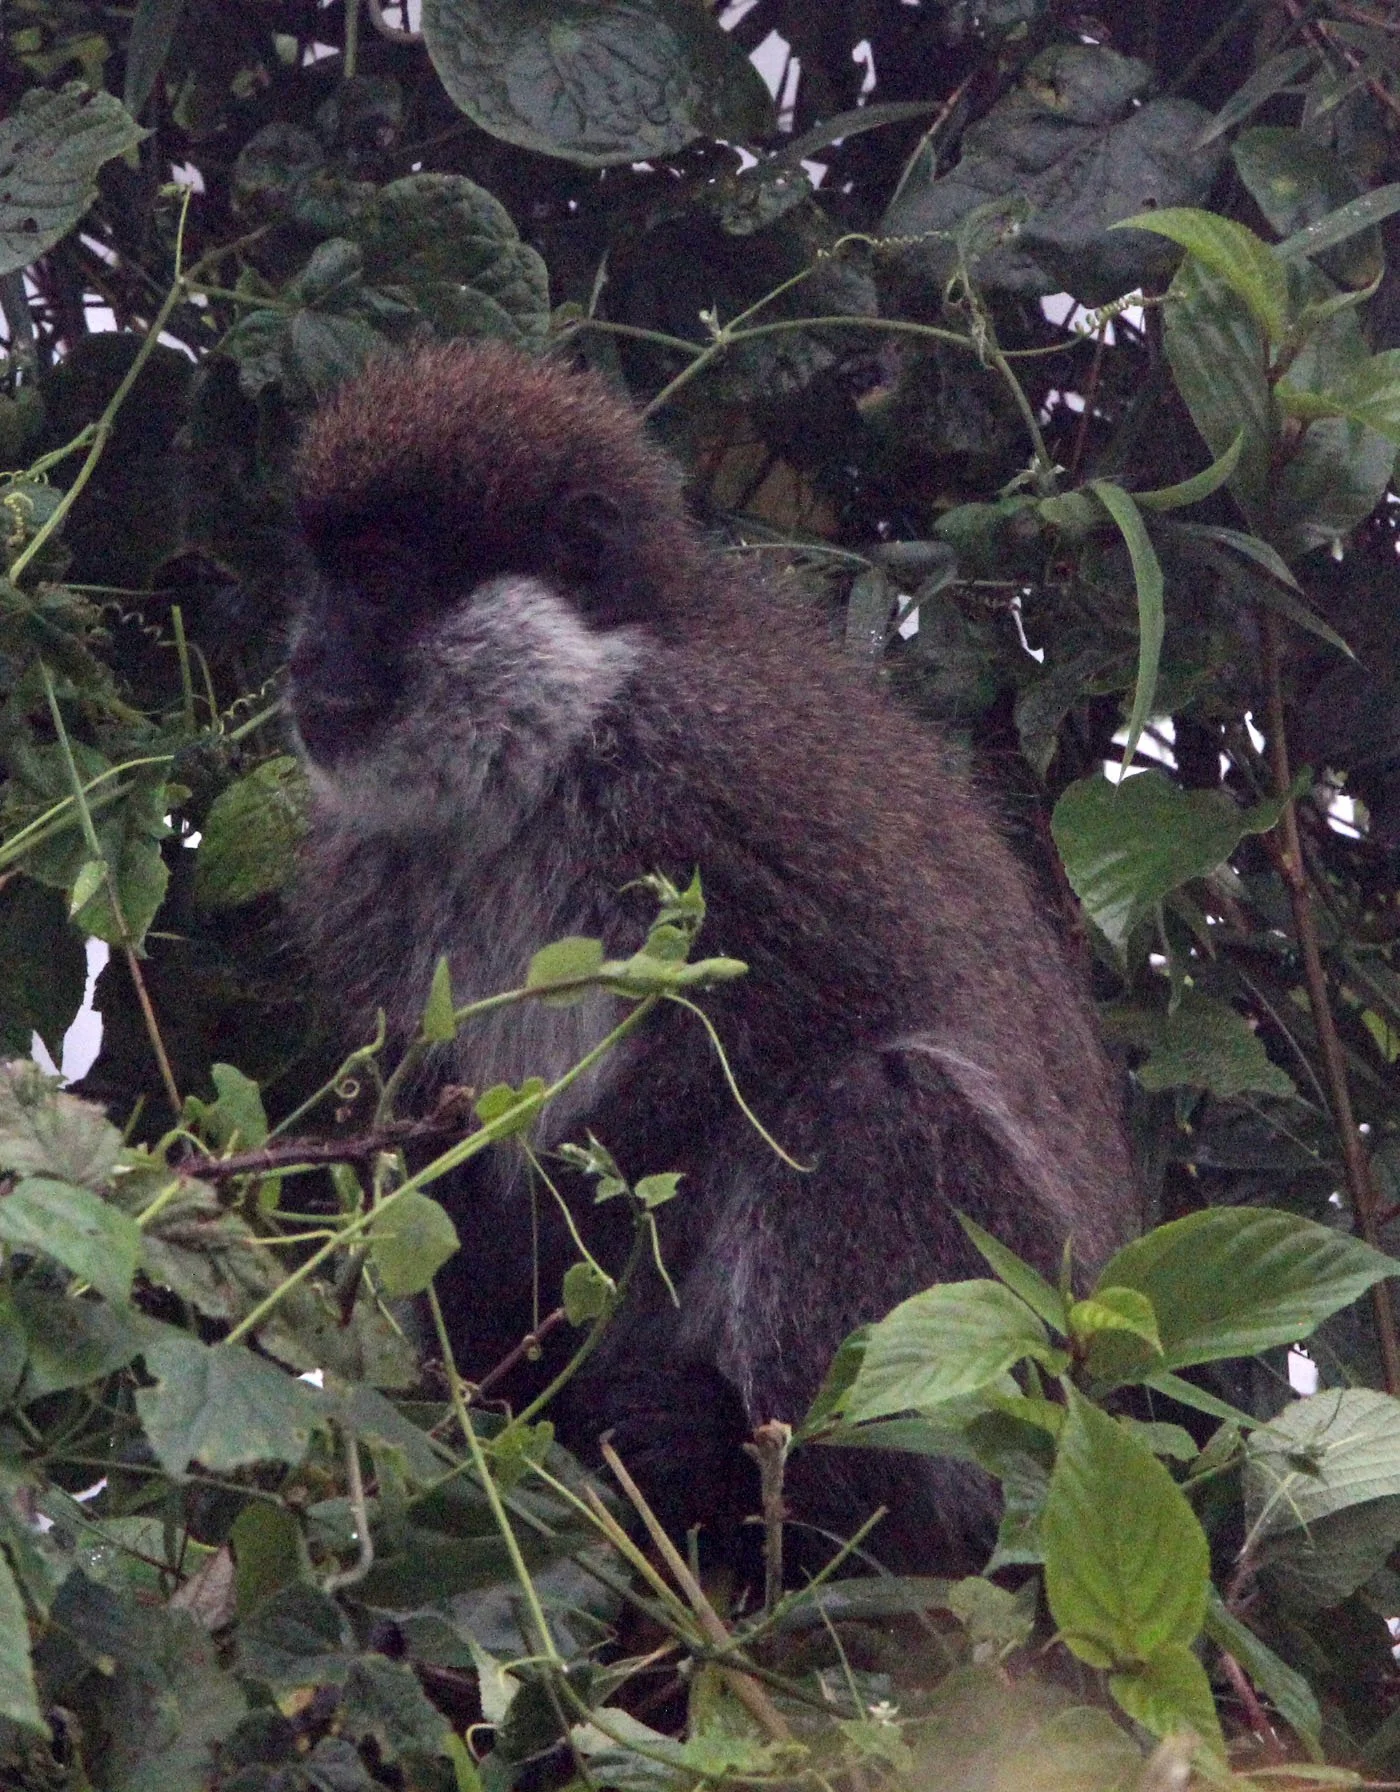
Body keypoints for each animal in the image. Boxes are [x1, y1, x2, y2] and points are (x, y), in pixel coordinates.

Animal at [286, 341, 1136, 1570]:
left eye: (381, 580)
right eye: (319, 579)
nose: (303, 654)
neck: (559, 738)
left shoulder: (705, 769)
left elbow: (799, 1029)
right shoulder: (369, 862)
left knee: (874, 1100)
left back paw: (805, 1489)